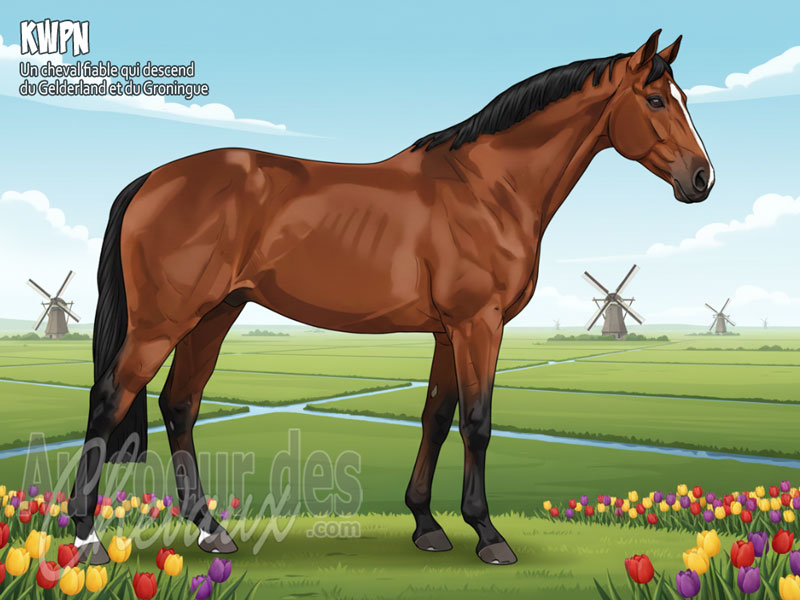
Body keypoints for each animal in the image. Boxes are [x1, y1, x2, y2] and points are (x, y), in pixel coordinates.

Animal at [69, 29, 713, 565]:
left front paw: (427, 525)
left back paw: (211, 530)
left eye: (682, 97)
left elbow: (436, 416)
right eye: (656, 100)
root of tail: (150, 180)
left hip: (215, 314)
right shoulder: (480, 324)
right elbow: (477, 421)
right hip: (163, 321)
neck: (488, 188)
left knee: (180, 404)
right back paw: (87, 538)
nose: (702, 178)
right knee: (109, 400)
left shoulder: (449, 331)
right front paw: (488, 535)